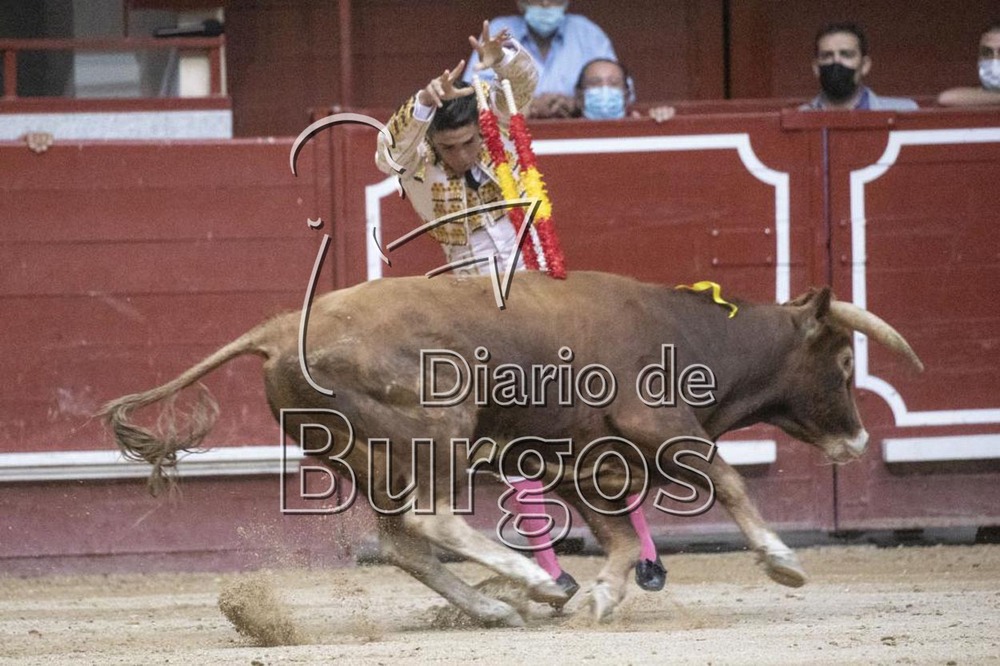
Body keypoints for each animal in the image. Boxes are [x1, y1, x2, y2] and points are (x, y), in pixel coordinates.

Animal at [99, 270, 920, 624]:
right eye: (843, 363)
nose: (858, 436)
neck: (692, 334)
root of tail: (276, 328)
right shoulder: (659, 426)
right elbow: (728, 481)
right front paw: (783, 563)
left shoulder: (586, 467)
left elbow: (623, 539)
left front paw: (600, 594)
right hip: (439, 430)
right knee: (430, 521)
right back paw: (527, 579)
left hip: (365, 458)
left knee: (400, 542)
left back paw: (505, 604)